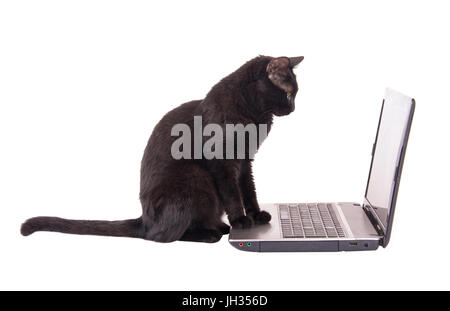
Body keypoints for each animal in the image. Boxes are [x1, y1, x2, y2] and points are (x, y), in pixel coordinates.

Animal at [20, 56, 302, 244]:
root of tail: (144, 220)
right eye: (289, 95)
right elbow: (233, 194)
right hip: (195, 177)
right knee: (163, 236)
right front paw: (241, 221)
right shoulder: (222, 162)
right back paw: (211, 233)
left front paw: (256, 215)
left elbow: (249, 190)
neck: (254, 116)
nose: (293, 109)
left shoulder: (245, 161)